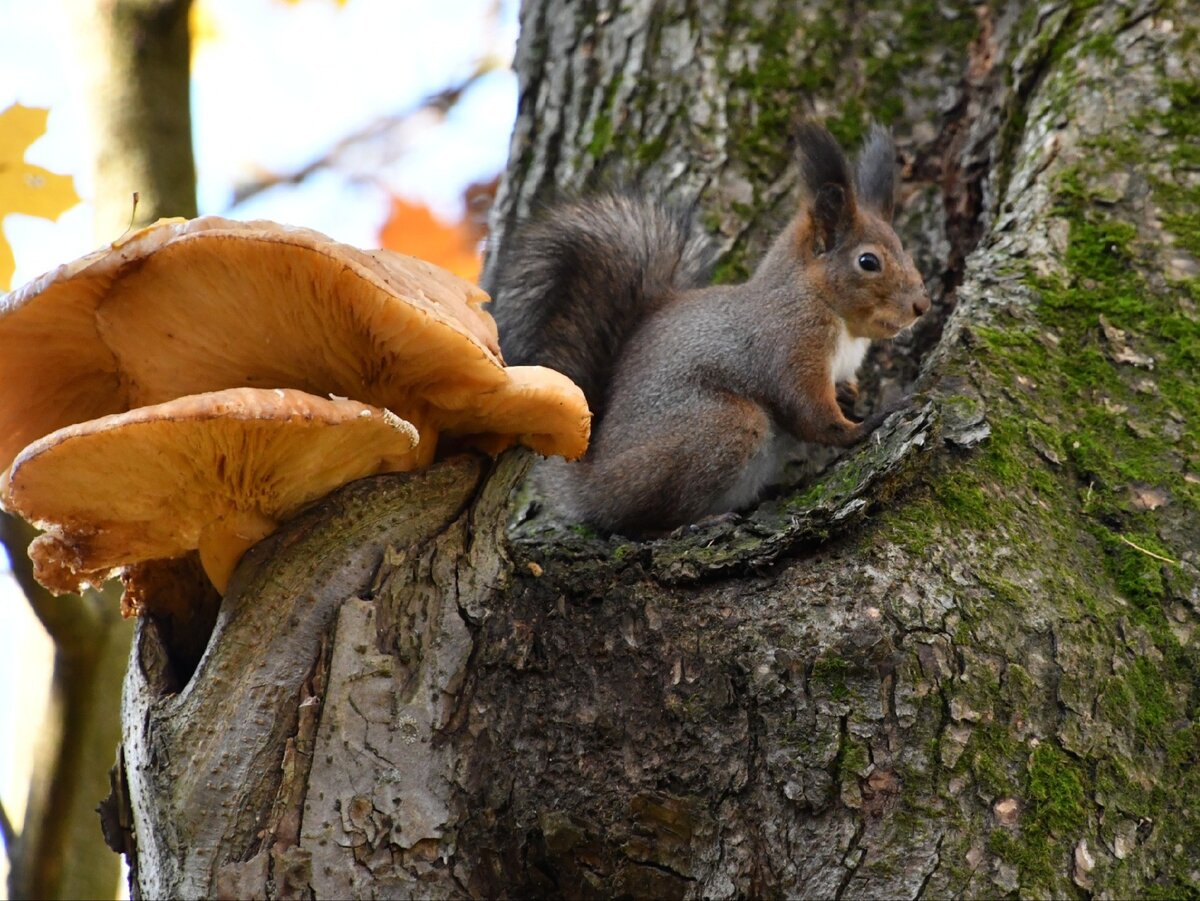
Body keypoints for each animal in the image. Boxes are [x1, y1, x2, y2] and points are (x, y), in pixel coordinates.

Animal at [487, 119, 926, 535]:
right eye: (868, 262)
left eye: (905, 250)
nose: (922, 306)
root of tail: (590, 484)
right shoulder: (791, 341)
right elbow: (810, 413)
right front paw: (864, 425)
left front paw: (851, 394)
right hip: (720, 427)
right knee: (637, 521)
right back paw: (692, 524)